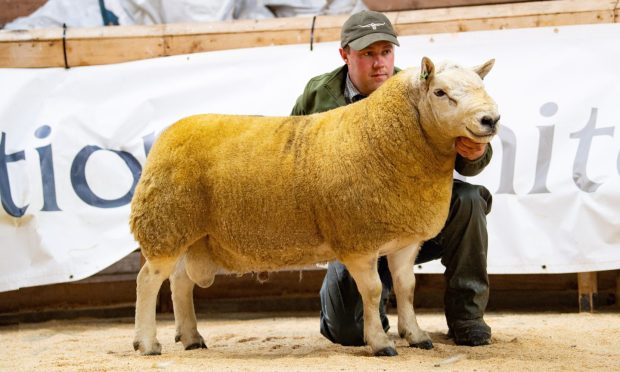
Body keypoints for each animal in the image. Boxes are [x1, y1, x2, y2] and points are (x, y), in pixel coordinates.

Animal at [130, 56, 498, 358]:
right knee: (148, 279)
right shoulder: (358, 240)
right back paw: (147, 343)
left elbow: (406, 289)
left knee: (180, 282)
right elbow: (373, 291)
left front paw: (416, 335)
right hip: (166, 223)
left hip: (194, 235)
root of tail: (168, 133)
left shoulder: (404, 240)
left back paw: (191, 337)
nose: (490, 119)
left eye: (481, 86)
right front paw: (380, 343)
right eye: (440, 92)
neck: (383, 137)